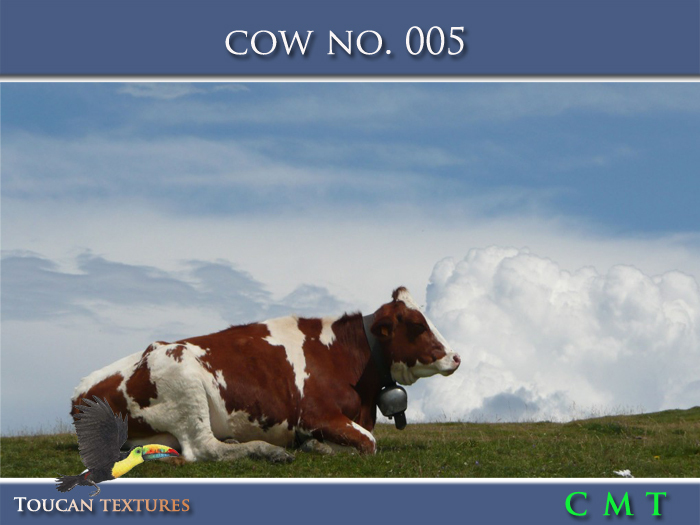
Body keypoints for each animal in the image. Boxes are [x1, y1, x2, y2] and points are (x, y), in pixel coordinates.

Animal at [71, 287, 460, 463]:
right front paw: (315, 445)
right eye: (417, 324)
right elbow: (368, 442)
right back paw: (268, 450)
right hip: (184, 380)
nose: (456, 356)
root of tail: (81, 390)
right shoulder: (314, 413)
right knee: (202, 447)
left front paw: (315, 445)